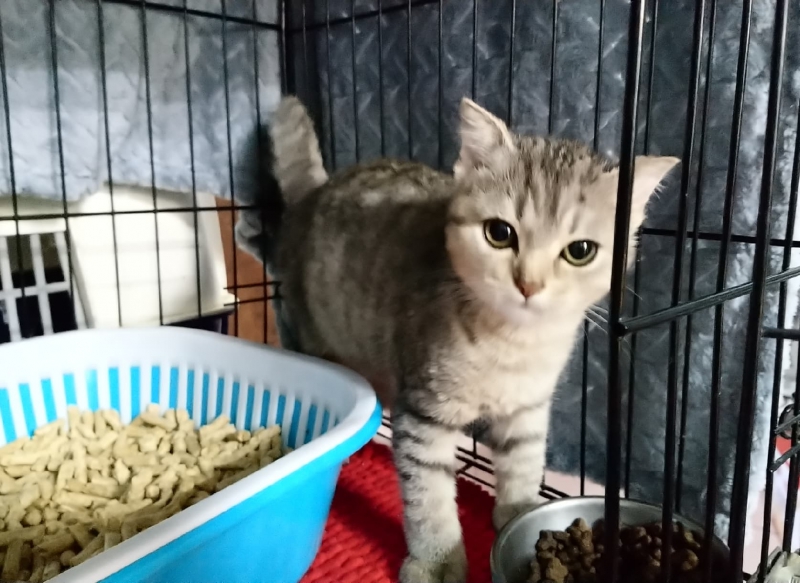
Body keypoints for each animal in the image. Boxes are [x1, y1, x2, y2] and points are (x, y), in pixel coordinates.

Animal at [236, 95, 679, 583]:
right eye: (500, 233)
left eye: (580, 251)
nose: (529, 284)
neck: (512, 344)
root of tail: (314, 194)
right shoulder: (423, 415)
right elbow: (428, 497)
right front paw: (437, 560)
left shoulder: (528, 408)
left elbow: (524, 460)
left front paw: (520, 513)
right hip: (319, 334)